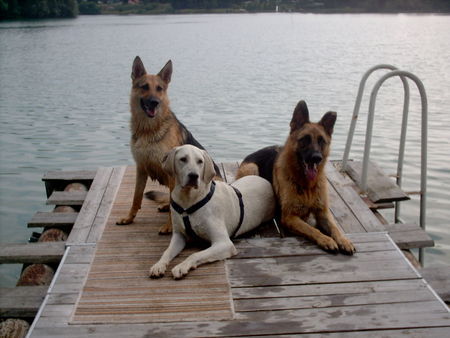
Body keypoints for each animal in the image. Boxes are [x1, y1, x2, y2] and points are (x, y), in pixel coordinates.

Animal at [149, 144, 274, 278]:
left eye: (200, 161)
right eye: (183, 159)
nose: (194, 176)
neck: (188, 200)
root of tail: (264, 180)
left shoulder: (224, 243)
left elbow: (194, 254)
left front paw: (182, 266)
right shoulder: (179, 236)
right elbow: (166, 252)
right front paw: (159, 265)